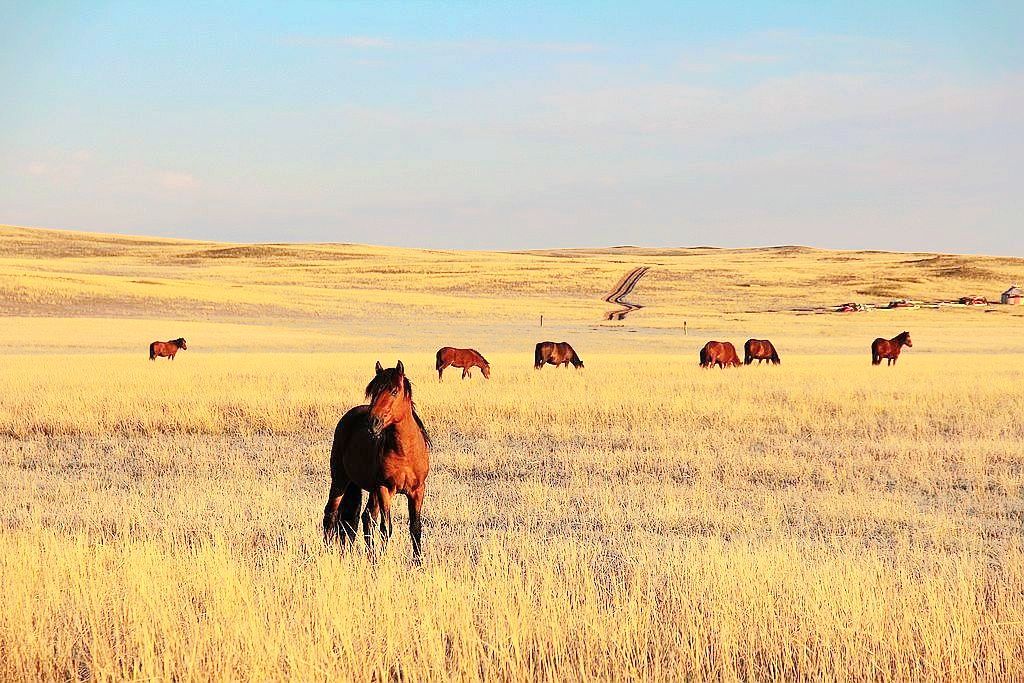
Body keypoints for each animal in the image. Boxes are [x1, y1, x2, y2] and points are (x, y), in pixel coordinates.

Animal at [323, 360, 428, 565]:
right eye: (373, 391)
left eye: (394, 391)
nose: (372, 422)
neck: (405, 452)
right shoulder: (384, 489)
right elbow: (386, 528)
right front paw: (383, 561)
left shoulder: (417, 491)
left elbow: (415, 528)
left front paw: (418, 563)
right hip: (340, 480)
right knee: (331, 514)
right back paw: (327, 553)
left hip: (369, 489)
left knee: (365, 517)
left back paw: (370, 555)